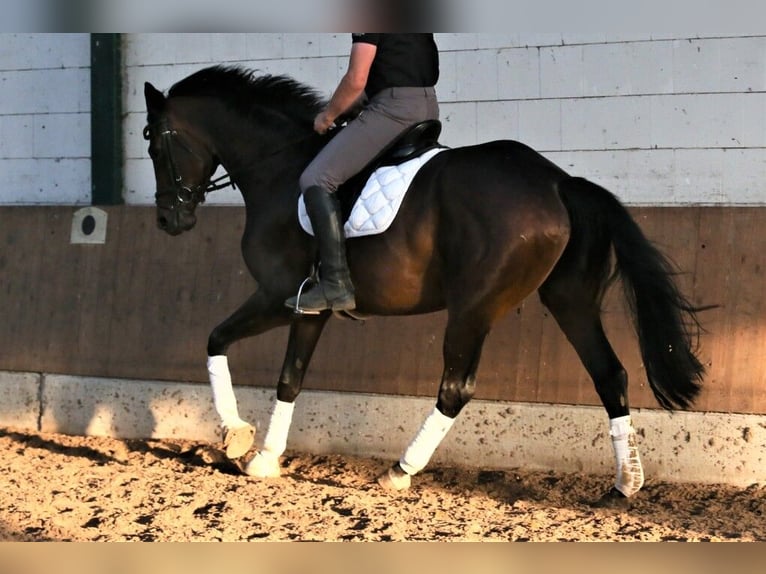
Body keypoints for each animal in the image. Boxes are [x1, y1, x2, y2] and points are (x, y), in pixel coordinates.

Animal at [144, 66, 708, 504]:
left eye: (152, 142)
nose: (169, 220)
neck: (279, 167)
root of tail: (557, 182)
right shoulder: (306, 308)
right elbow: (260, 362)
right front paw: (253, 447)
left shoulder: (286, 299)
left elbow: (245, 356)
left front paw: (246, 445)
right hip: (569, 300)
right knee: (609, 374)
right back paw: (624, 486)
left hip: (473, 308)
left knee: (456, 388)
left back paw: (399, 472)